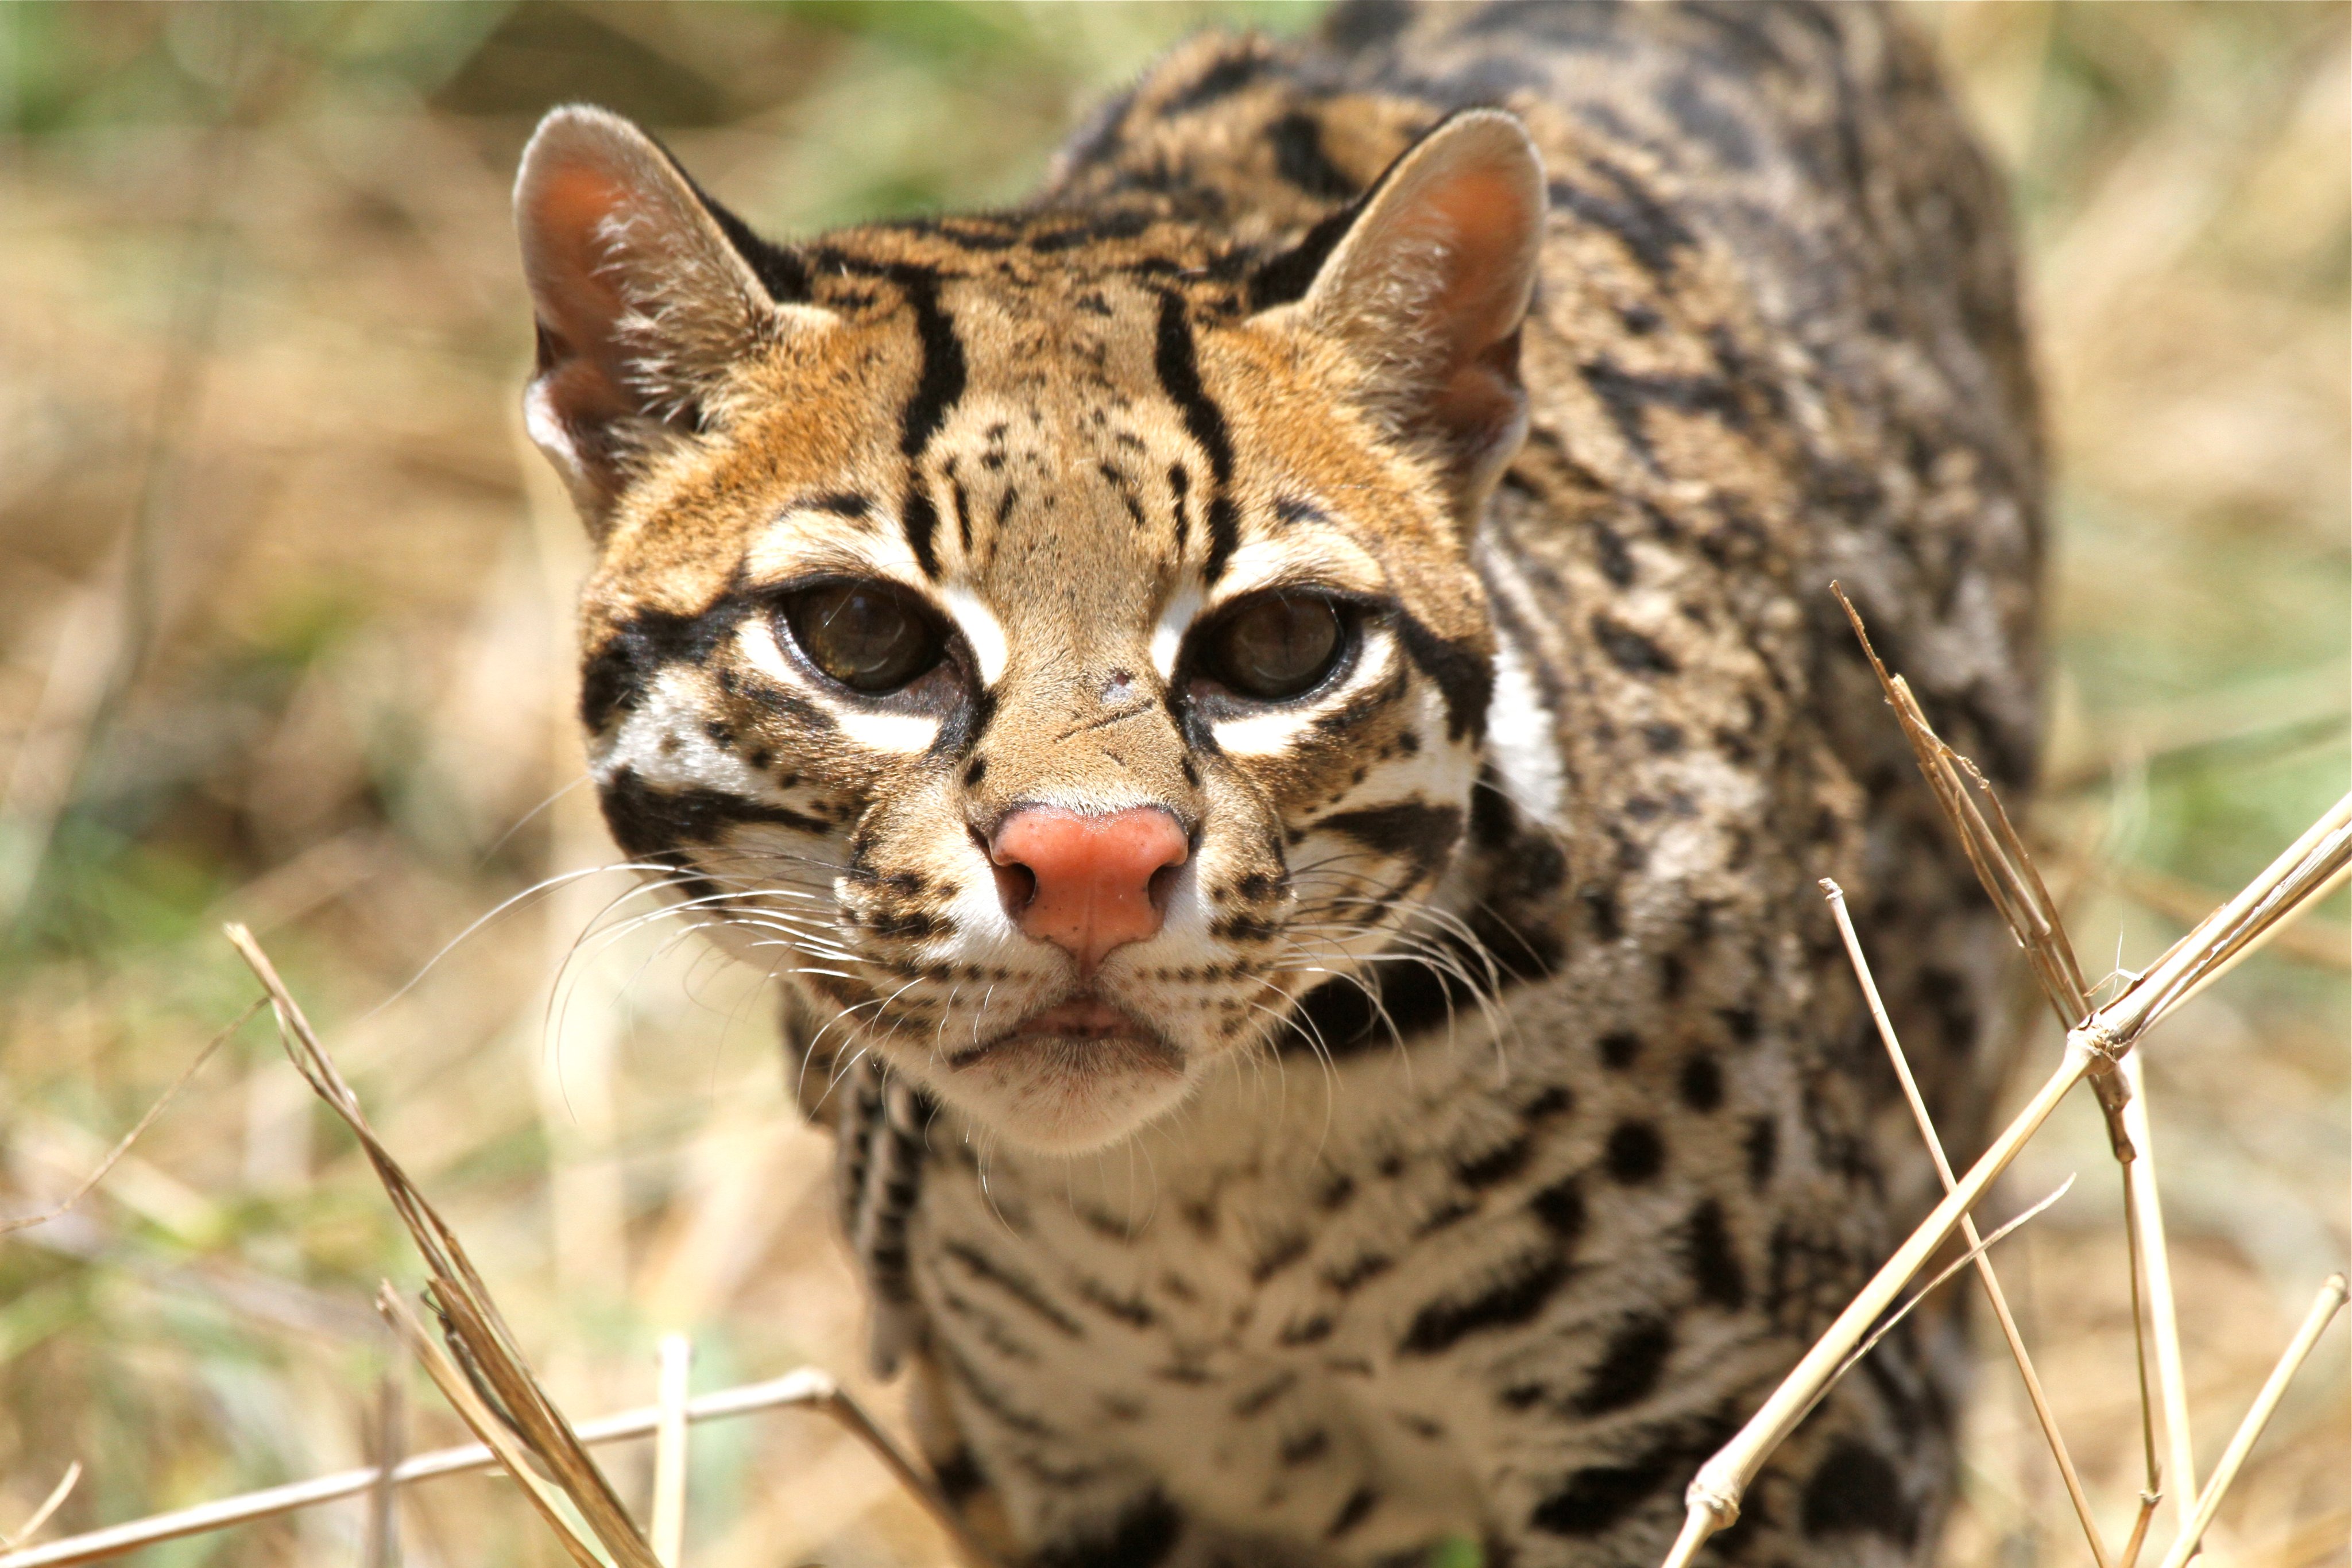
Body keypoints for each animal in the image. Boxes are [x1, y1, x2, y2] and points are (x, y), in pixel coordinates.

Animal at [505, 6, 2032, 1561]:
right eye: (862, 634)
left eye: (1283, 644)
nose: (1094, 867)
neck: (1212, 1211)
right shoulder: (1039, 1459)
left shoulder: (1767, 1427)